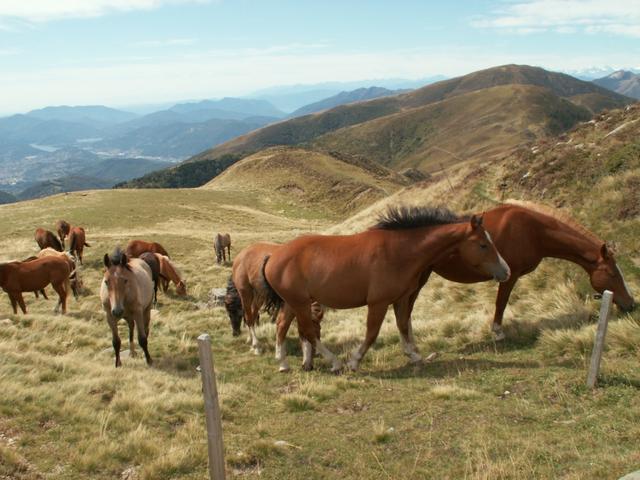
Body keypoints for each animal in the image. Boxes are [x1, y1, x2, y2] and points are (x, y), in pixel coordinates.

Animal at [262, 205, 510, 372]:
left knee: (282, 326)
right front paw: (354, 361)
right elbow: (372, 334)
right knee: (309, 332)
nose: (506, 271)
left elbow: (403, 326)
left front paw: (414, 356)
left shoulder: (400, 299)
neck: (399, 251)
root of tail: (274, 255)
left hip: (293, 303)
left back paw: (283, 363)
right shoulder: (378, 303)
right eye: (483, 245)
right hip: (300, 303)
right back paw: (334, 363)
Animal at [424, 201, 636, 340]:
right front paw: (497, 332)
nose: (632, 304)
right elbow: (501, 303)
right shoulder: (510, 276)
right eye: (612, 274)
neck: (533, 231)